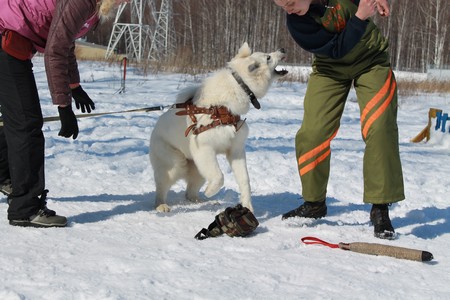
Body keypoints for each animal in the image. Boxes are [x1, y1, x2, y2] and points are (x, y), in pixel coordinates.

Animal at [149, 42, 286, 212]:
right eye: (268, 57)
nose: (282, 49)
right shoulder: (203, 149)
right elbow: (219, 176)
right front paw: (210, 191)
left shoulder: (235, 150)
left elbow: (245, 180)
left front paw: (247, 206)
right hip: (175, 164)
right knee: (162, 186)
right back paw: (161, 205)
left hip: (198, 169)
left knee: (190, 191)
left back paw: (200, 200)